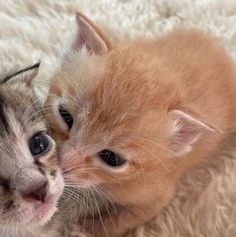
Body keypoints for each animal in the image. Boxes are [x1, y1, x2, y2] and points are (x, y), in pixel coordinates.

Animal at [45, 12, 236, 237]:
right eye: (65, 116)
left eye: (112, 158)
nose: (62, 161)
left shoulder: (158, 193)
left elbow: (125, 219)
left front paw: (86, 229)